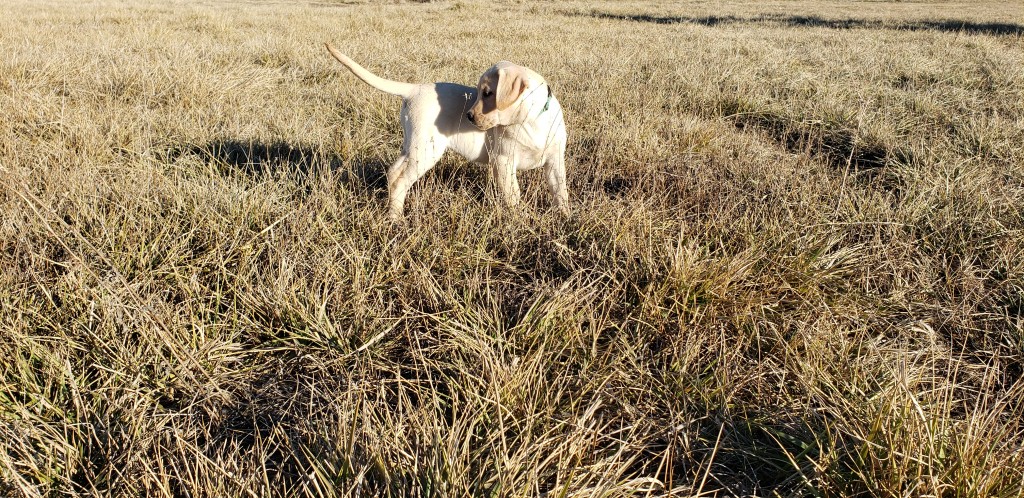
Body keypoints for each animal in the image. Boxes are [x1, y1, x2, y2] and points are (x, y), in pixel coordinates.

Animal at [323, 43, 569, 220]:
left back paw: (392, 210)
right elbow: (513, 195)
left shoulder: (555, 161)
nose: (469, 116)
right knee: (401, 180)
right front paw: (519, 219)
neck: (531, 120)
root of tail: (413, 89)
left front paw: (566, 218)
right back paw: (396, 219)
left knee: (393, 172)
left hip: (413, 147)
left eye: (488, 93)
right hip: (426, 151)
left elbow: (560, 191)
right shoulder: (503, 161)